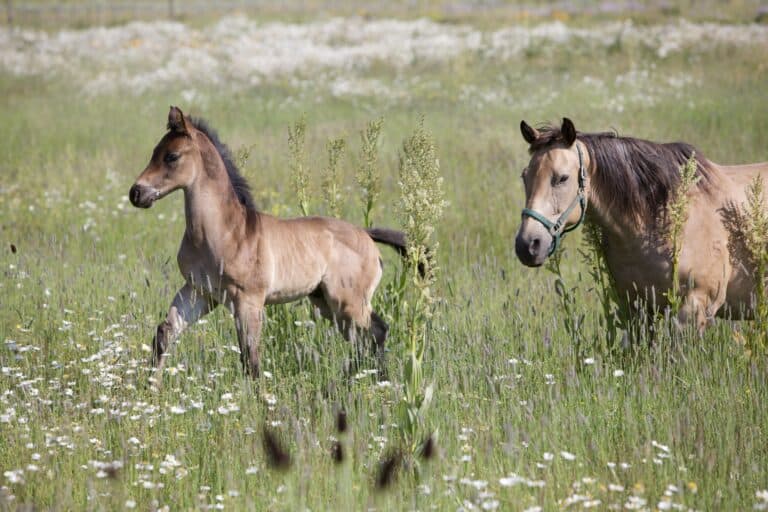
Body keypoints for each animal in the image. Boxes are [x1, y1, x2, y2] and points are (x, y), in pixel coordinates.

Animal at [129, 106, 410, 379]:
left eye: (172, 156)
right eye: (154, 152)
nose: (136, 193)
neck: (225, 232)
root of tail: (365, 234)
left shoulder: (248, 300)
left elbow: (250, 356)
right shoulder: (199, 292)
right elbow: (164, 333)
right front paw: (150, 386)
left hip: (347, 302)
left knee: (376, 332)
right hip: (326, 302)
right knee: (364, 337)